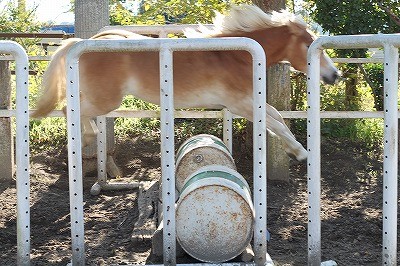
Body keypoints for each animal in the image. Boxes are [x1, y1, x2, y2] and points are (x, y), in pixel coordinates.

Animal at [32, 4, 340, 162]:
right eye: (310, 44)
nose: (334, 75)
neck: (234, 55)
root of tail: (83, 42)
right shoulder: (240, 104)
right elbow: (276, 123)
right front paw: (301, 153)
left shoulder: (249, 101)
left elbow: (277, 118)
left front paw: (295, 149)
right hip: (106, 98)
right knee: (69, 110)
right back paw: (87, 136)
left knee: (74, 110)